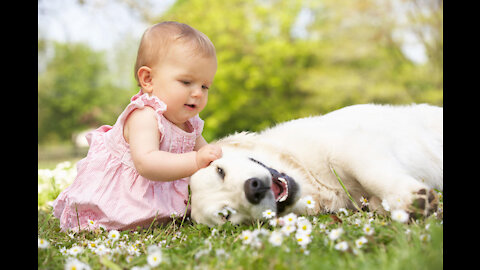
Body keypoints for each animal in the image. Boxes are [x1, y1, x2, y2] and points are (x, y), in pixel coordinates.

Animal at [189, 104, 444, 227]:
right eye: (226, 214)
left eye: (220, 171)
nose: (253, 189)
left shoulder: (349, 145)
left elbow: (372, 174)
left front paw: (409, 198)